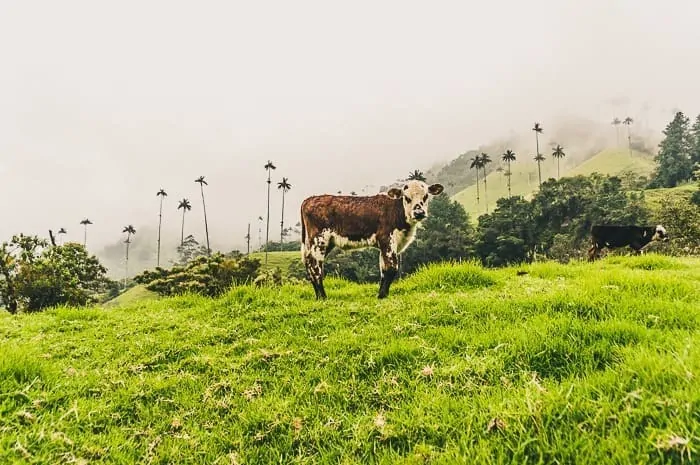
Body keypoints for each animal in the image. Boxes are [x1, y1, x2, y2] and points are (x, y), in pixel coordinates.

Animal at [300, 179, 442, 300]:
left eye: (426, 196)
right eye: (407, 198)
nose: (419, 213)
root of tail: (310, 199)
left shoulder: (386, 246)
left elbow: (384, 270)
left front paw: (382, 294)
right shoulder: (387, 240)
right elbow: (391, 268)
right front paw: (382, 295)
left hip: (323, 242)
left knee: (309, 264)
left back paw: (318, 296)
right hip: (319, 239)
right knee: (315, 266)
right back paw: (323, 297)